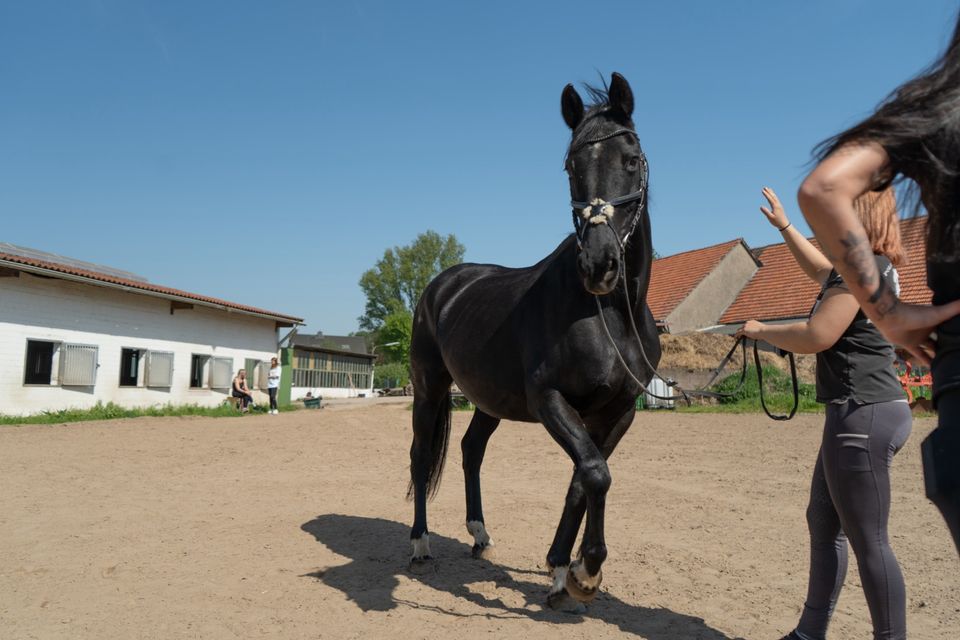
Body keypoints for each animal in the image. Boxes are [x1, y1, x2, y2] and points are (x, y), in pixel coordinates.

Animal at [404, 72, 660, 612]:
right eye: (571, 167)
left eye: (630, 159)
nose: (599, 265)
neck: (609, 315)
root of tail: (442, 285)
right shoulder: (549, 399)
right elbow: (595, 473)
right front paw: (586, 571)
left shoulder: (618, 411)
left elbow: (584, 479)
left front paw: (562, 569)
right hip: (429, 389)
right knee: (420, 456)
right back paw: (420, 545)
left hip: (489, 400)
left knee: (471, 450)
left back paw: (479, 535)